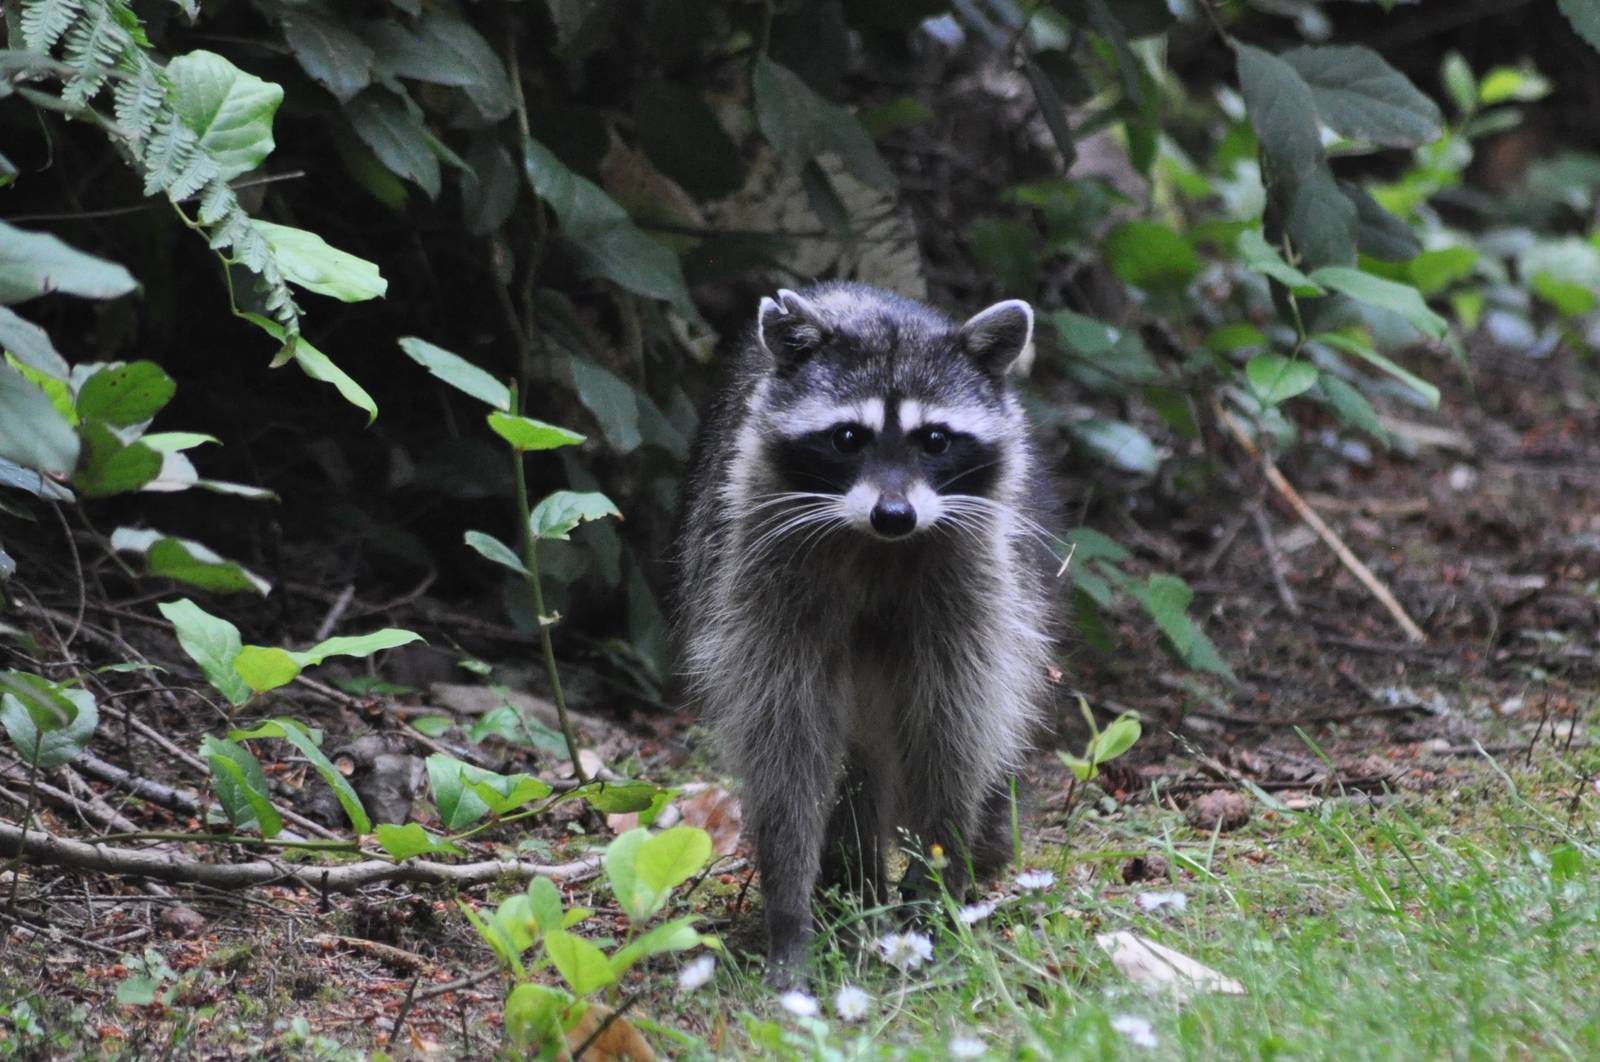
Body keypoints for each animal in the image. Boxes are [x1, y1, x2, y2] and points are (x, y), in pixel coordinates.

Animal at [673, 283, 1060, 986]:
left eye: (935, 439)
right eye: (848, 437)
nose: (894, 514)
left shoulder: (973, 581)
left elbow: (954, 730)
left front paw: (939, 881)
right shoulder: (759, 571)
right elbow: (785, 743)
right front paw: (789, 909)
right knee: (851, 761)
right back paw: (851, 882)